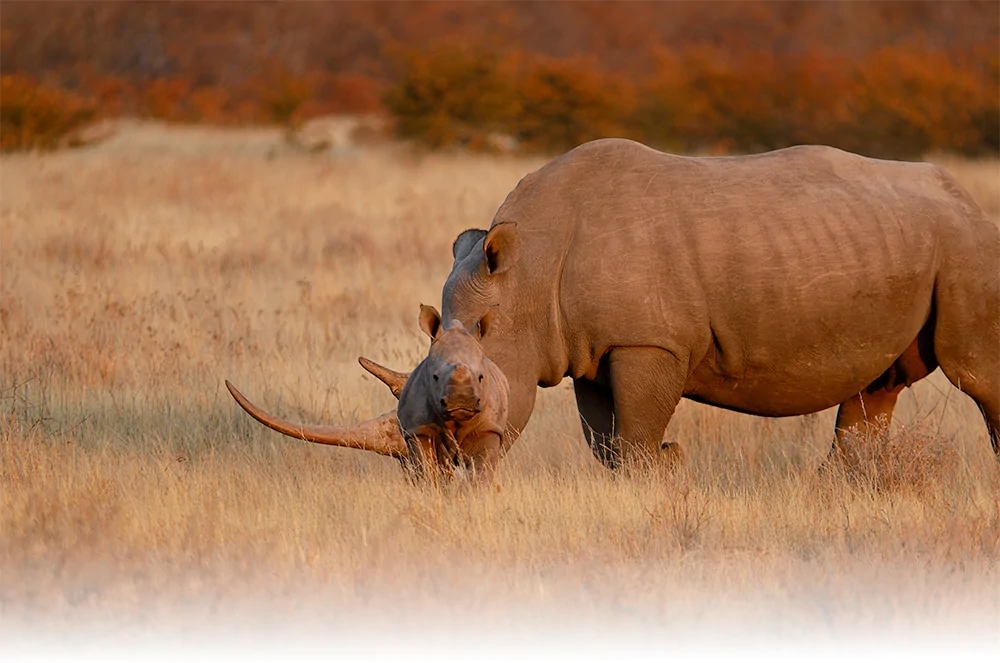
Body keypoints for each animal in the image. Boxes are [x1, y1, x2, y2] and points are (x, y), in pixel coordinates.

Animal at [228, 139, 1000, 478]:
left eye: (467, 399)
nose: (442, 483)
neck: (523, 282)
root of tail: (967, 198)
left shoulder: (646, 342)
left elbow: (631, 437)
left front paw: (663, 464)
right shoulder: (588, 351)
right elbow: (605, 442)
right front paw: (662, 468)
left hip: (966, 244)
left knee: (977, 373)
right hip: (902, 241)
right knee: (876, 386)